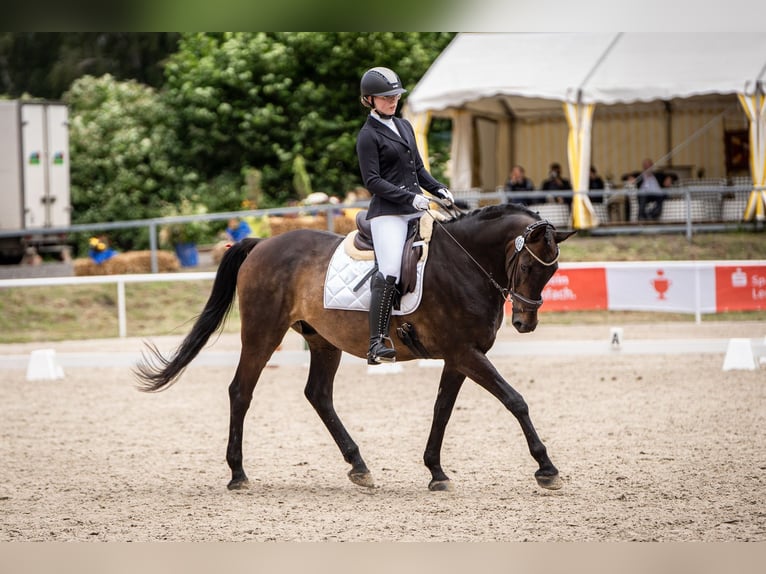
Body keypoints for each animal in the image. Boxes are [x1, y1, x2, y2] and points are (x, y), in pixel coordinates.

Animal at [134, 203, 575, 492]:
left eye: (553, 270)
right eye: (530, 266)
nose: (525, 323)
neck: (464, 263)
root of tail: (261, 245)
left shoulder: (459, 356)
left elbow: (442, 411)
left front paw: (436, 471)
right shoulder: (466, 353)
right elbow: (515, 400)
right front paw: (546, 468)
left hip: (322, 341)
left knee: (318, 395)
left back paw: (359, 466)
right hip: (263, 333)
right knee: (241, 391)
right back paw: (238, 474)